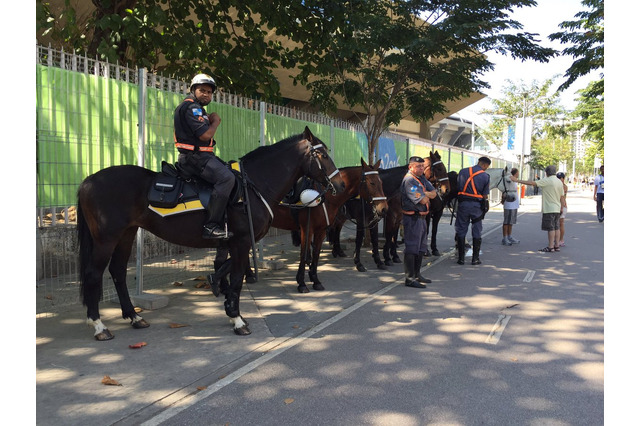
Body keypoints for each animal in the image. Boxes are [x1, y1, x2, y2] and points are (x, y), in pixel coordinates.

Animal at [76, 126, 344, 340]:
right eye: (322, 154)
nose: (339, 185)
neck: (252, 187)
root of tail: (88, 180)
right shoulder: (241, 240)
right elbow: (236, 277)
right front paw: (237, 319)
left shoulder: (236, 242)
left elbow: (226, 268)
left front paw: (223, 296)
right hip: (106, 238)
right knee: (93, 274)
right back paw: (99, 326)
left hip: (126, 234)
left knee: (118, 272)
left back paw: (134, 317)